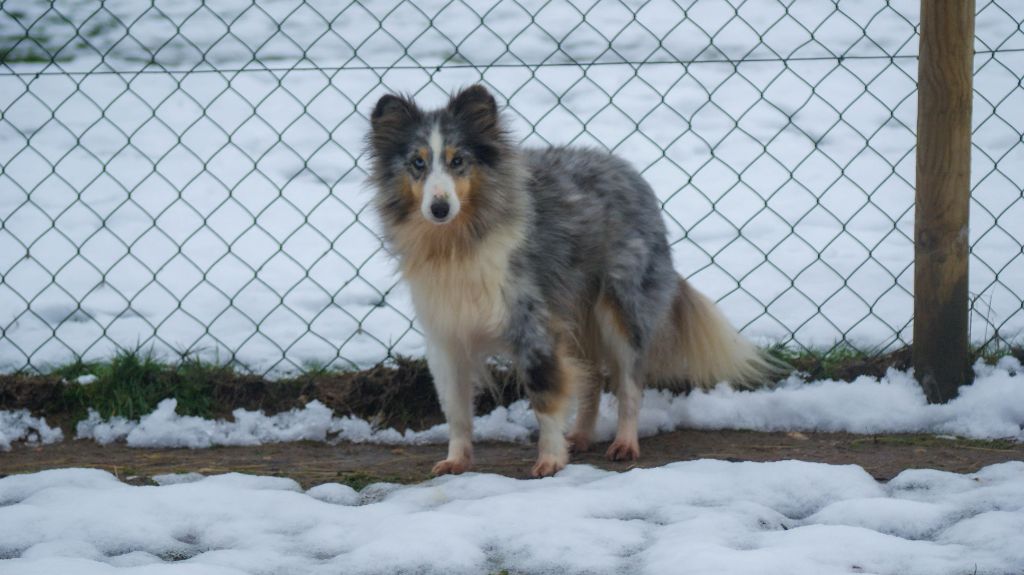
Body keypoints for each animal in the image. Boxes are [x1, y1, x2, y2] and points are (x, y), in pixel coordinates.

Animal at [366, 84, 777, 477]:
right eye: (418, 163)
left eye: (457, 161)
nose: (439, 208)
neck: (459, 240)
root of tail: (625, 168)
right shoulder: (445, 334)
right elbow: (455, 408)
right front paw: (456, 461)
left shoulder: (533, 323)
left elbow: (545, 396)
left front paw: (549, 460)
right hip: (578, 313)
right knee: (592, 377)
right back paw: (580, 436)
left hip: (620, 308)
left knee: (630, 384)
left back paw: (624, 443)